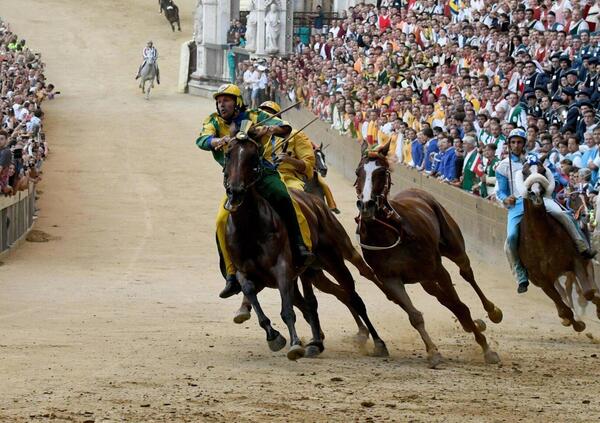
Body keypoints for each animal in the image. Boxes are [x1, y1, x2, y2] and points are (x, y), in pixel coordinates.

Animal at [225, 129, 390, 362]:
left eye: (253, 157)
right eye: (228, 154)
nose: (236, 191)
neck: (251, 226)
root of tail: (317, 204)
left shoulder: (283, 267)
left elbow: (289, 309)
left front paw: (295, 343)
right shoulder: (244, 270)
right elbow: (251, 292)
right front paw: (274, 335)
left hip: (336, 257)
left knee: (355, 291)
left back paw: (378, 340)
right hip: (313, 272)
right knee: (336, 294)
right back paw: (322, 340)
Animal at [354, 143, 504, 368]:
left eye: (381, 172)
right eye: (358, 172)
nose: (366, 205)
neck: (391, 232)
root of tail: (417, 190)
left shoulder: (437, 269)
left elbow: (461, 306)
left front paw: (487, 349)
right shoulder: (390, 278)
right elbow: (415, 316)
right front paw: (433, 351)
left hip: (452, 247)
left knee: (466, 273)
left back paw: (492, 311)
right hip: (424, 278)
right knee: (443, 297)